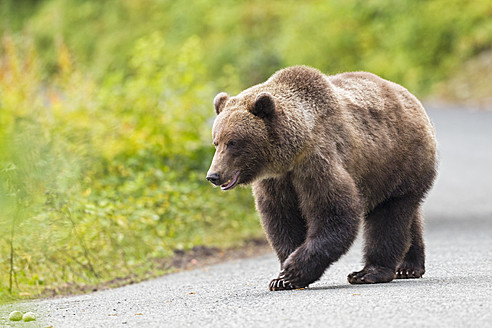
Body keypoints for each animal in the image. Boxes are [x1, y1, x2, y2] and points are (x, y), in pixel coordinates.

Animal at [206, 65, 436, 290]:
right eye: (216, 141)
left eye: (233, 142)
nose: (214, 175)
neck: (291, 155)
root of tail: (411, 98)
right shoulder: (277, 182)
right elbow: (281, 219)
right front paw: (282, 276)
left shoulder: (317, 164)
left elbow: (334, 213)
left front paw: (291, 272)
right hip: (388, 176)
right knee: (407, 217)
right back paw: (408, 266)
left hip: (398, 162)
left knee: (389, 218)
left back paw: (369, 272)